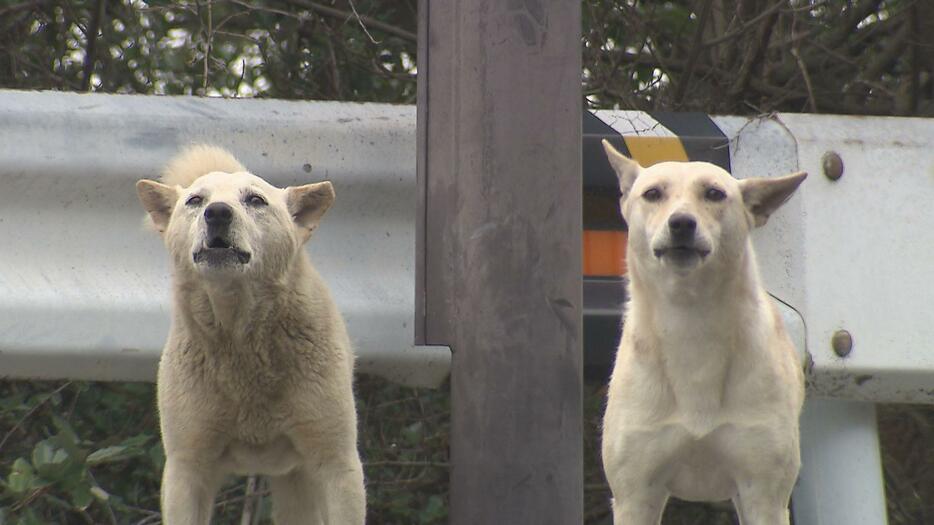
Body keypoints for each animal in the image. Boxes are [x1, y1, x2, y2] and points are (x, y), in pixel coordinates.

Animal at [604, 139, 808, 524]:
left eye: (714, 193)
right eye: (652, 194)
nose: (682, 222)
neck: (691, 319)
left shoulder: (765, 493)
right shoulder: (634, 493)